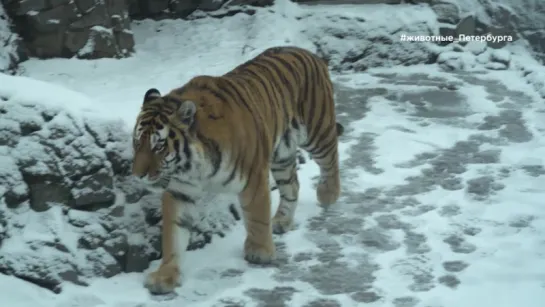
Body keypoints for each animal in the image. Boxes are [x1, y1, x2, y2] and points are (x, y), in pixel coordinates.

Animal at [131, 45, 342, 294]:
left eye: (159, 146)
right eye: (137, 143)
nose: (138, 174)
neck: (194, 167)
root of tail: (310, 53)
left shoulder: (253, 178)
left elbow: (257, 216)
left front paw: (259, 252)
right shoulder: (180, 190)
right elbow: (173, 234)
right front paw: (165, 275)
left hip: (317, 131)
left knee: (331, 159)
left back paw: (328, 194)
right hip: (281, 154)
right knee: (292, 184)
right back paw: (281, 221)